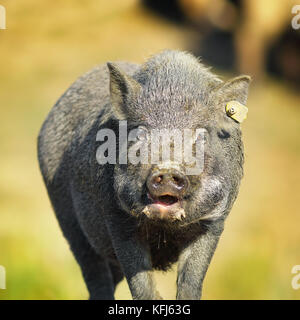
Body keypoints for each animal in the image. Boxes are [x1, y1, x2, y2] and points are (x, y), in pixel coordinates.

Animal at [38, 50, 251, 300]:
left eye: (201, 134)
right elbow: (141, 284)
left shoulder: (214, 220)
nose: (167, 170)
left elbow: (191, 281)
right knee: (94, 275)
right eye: (140, 131)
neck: (164, 229)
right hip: (68, 220)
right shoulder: (117, 219)